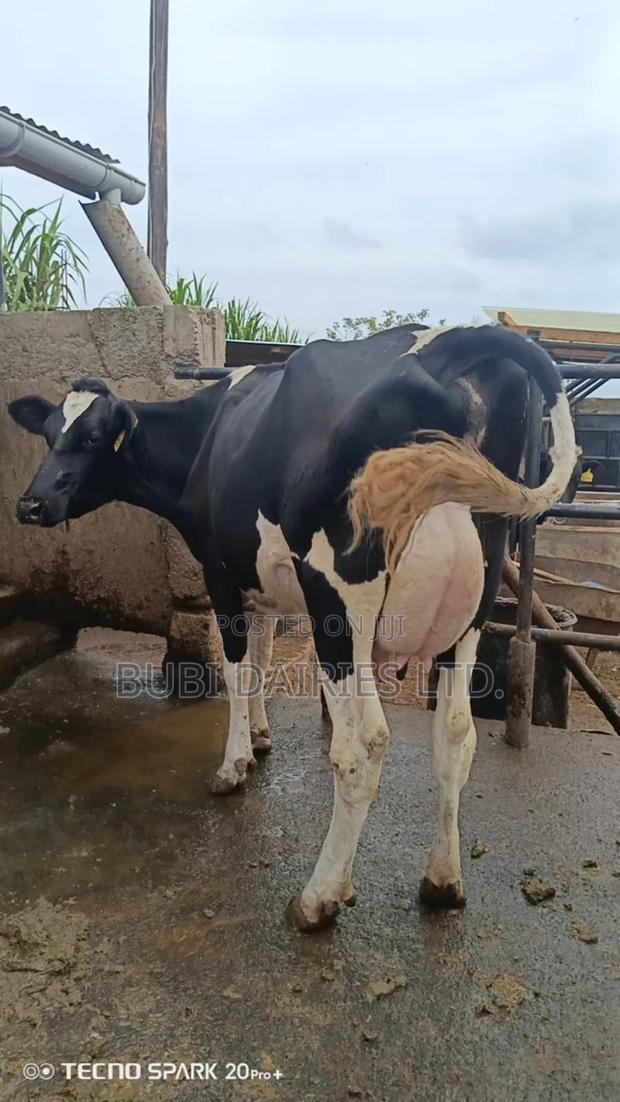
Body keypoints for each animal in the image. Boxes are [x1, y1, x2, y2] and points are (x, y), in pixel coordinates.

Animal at [9, 323, 577, 931]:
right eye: (49, 434)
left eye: (93, 439)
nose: (30, 504)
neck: (207, 435)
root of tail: (448, 342)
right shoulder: (260, 578)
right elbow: (260, 658)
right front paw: (261, 737)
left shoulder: (219, 572)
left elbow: (237, 668)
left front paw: (233, 764)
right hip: (476, 603)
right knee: (454, 734)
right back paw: (443, 881)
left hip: (340, 603)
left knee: (363, 745)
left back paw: (319, 896)